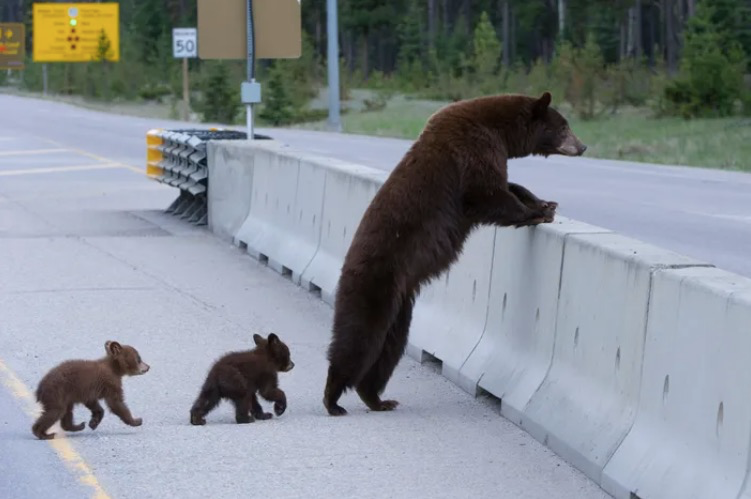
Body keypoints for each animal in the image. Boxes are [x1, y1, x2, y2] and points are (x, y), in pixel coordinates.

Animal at [324, 92, 588, 416]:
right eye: (563, 126)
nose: (582, 146)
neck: (499, 129)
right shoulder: (473, 149)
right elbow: (487, 193)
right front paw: (536, 212)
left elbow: (507, 184)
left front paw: (544, 202)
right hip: (374, 283)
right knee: (359, 337)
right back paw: (334, 398)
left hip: (400, 306)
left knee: (389, 347)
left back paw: (377, 398)